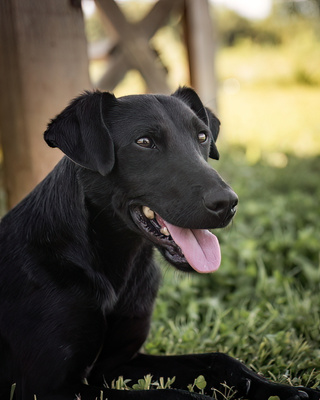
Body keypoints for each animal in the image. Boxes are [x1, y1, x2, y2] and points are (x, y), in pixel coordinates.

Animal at [0, 88, 318, 400]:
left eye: (202, 136)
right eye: (144, 142)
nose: (228, 204)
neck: (115, 268)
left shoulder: (118, 363)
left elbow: (219, 359)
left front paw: (284, 390)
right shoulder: (50, 387)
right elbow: (177, 395)